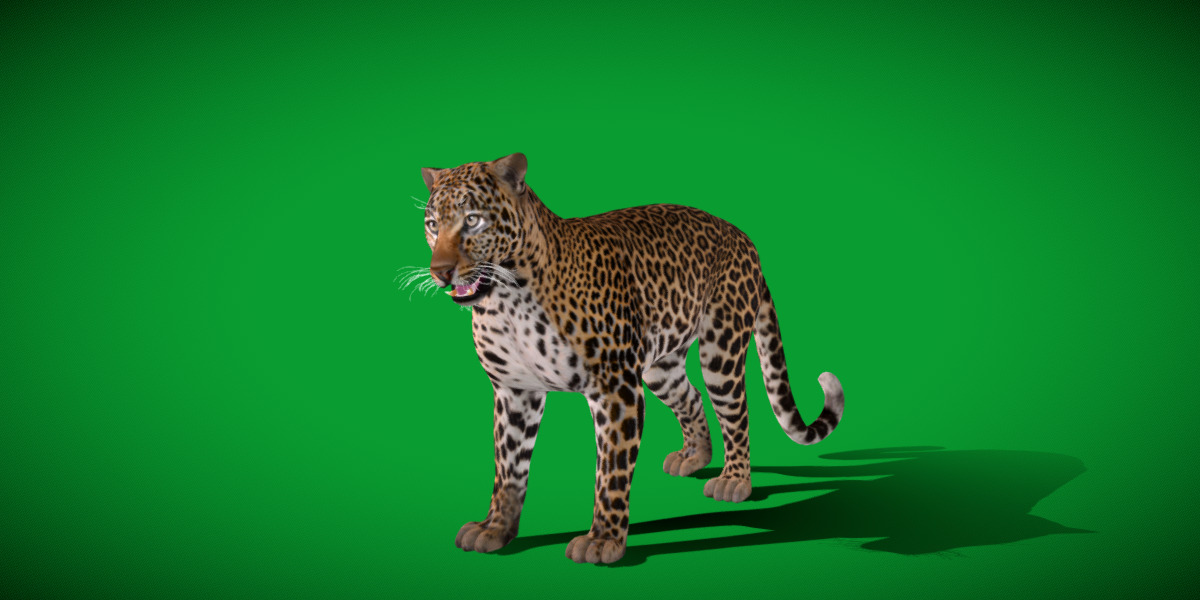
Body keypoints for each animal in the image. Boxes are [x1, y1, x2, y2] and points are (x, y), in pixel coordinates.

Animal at [415, 152, 844, 564]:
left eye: (473, 221)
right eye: (433, 224)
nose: (440, 272)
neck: (506, 302)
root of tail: (743, 237)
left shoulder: (615, 389)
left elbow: (612, 471)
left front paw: (603, 540)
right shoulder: (515, 390)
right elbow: (508, 466)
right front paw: (495, 529)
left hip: (721, 349)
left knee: (736, 411)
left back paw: (734, 480)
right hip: (659, 366)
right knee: (690, 396)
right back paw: (694, 456)